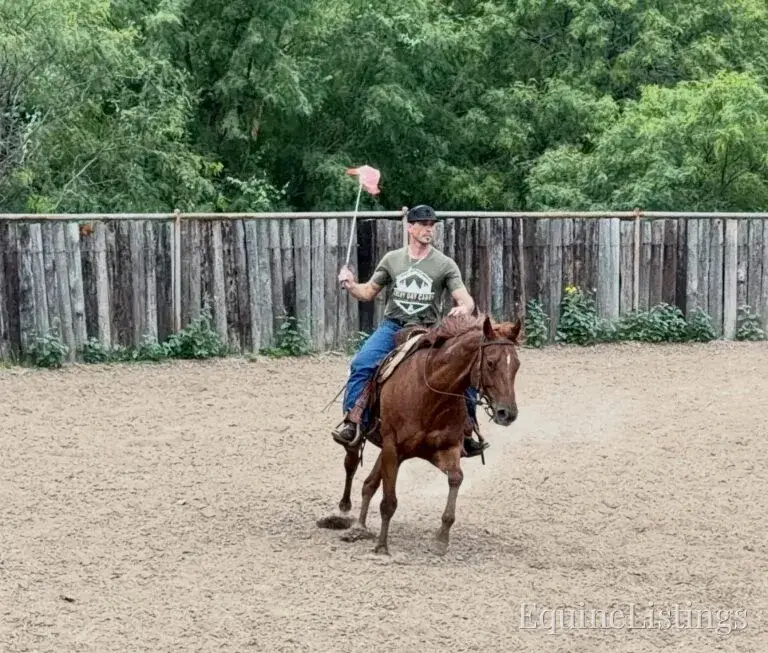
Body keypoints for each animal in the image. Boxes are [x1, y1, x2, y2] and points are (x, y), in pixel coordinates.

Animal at [317, 312, 522, 556]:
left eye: (517, 365)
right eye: (490, 362)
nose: (507, 413)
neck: (431, 393)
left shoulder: (446, 448)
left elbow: (456, 478)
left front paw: (441, 540)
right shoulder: (392, 447)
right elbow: (388, 502)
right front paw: (382, 547)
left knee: (369, 484)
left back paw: (359, 527)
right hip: (363, 438)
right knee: (351, 464)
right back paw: (344, 513)